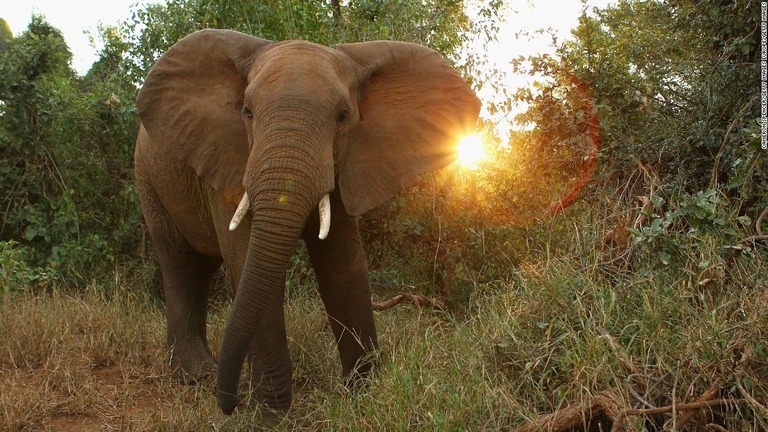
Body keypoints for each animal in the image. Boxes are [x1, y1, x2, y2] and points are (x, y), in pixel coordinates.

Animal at [133, 29, 480, 416]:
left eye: (343, 116)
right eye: (246, 112)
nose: (229, 405)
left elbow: (343, 266)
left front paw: (364, 394)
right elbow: (247, 260)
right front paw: (269, 415)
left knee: (201, 268)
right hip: (148, 178)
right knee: (179, 263)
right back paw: (196, 374)